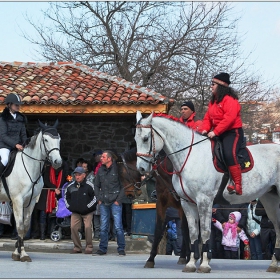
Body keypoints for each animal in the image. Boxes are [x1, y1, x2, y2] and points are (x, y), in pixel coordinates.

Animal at [0, 120, 61, 262]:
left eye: (59, 139)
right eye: (46, 139)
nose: (57, 162)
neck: (28, 165)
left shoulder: (31, 201)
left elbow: (26, 225)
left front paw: (18, 253)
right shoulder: (17, 200)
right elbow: (20, 226)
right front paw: (22, 254)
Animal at [133, 111, 280, 274]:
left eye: (146, 138)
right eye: (135, 139)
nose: (141, 169)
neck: (190, 156)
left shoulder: (204, 201)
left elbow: (204, 232)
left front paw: (204, 264)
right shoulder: (186, 203)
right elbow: (192, 233)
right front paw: (191, 263)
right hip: (270, 199)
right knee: (278, 227)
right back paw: (274, 264)